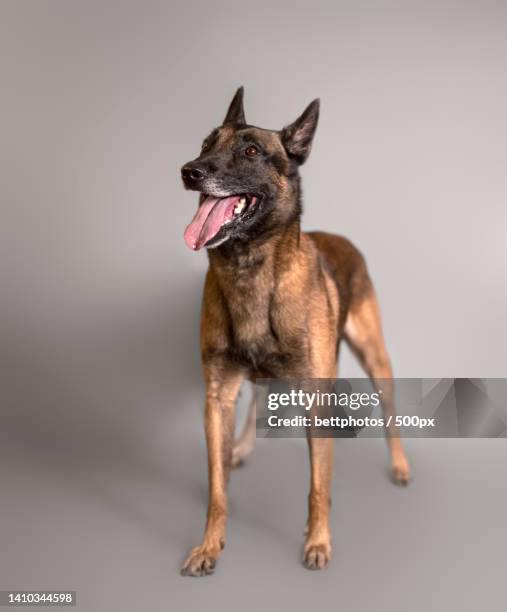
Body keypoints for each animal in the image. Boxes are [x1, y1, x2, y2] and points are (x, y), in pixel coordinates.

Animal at [181, 88, 410, 576]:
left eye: (251, 151)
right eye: (207, 143)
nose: (190, 171)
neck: (250, 268)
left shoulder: (315, 398)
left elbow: (318, 484)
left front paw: (318, 540)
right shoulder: (217, 396)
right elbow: (216, 489)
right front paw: (209, 546)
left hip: (373, 354)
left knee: (388, 407)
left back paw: (400, 466)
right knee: (259, 396)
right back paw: (240, 448)